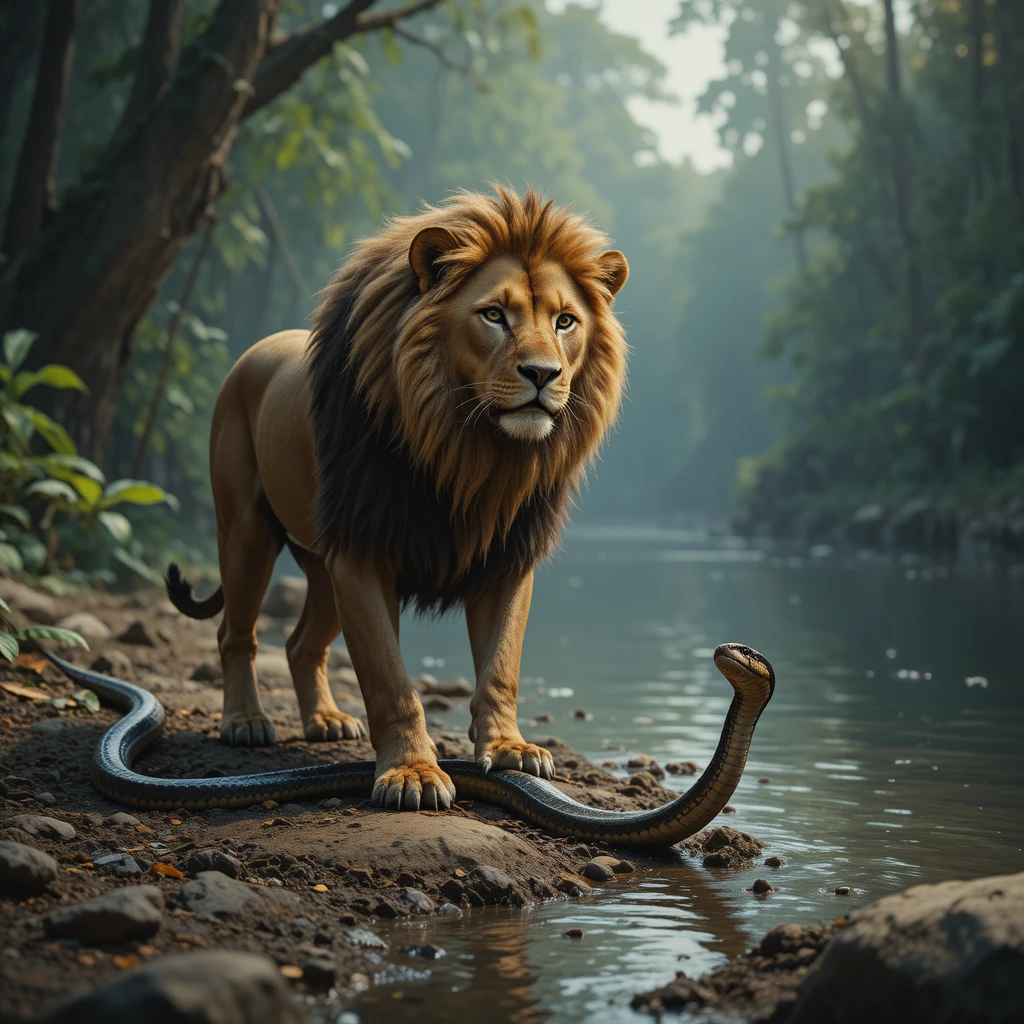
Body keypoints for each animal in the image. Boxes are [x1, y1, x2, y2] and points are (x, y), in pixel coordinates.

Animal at [166, 186, 629, 811]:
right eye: (494, 315)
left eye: (565, 321)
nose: (543, 373)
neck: (470, 451)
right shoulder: (361, 552)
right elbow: (390, 679)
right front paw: (412, 773)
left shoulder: (508, 557)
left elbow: (501, 666)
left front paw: (511, 749)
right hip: (247, 534)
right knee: (234, 633)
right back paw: (244, 722)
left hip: (322, 566)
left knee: (300, 644)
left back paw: (325, 721)